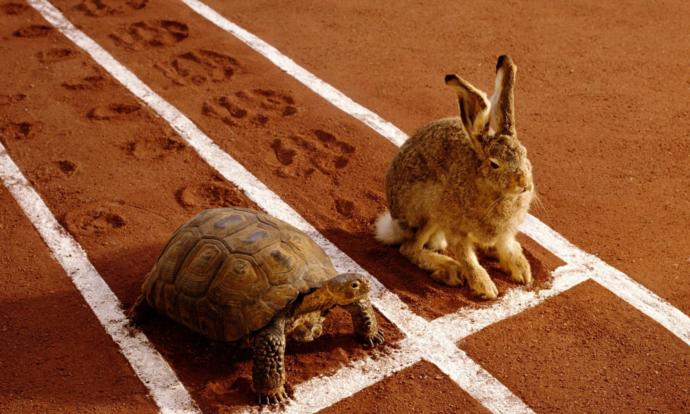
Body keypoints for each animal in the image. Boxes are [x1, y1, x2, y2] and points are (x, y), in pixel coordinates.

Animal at [375, 55, 534, 299]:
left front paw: (523, 272)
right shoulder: (455, 228)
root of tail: (394, 224)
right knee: (410, 248)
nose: (524, 185)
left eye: (524, 154)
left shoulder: (505, 232)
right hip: (429, 210)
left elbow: (506, 246)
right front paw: (486, 287)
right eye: (494, 164)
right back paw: (449, 269)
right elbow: (468, 258)